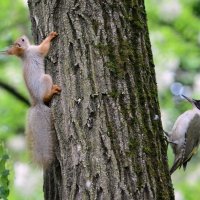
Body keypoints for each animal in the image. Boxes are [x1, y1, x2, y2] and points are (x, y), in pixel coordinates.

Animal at [6, 32, 61, 168]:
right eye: (22, 40)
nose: (23, 35)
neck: (25, 53)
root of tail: (37, 102)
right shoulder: (36, 50)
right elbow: (44, 47)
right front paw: (51, 36)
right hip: (46, 79)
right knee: (46, 95)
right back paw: (52, 91)